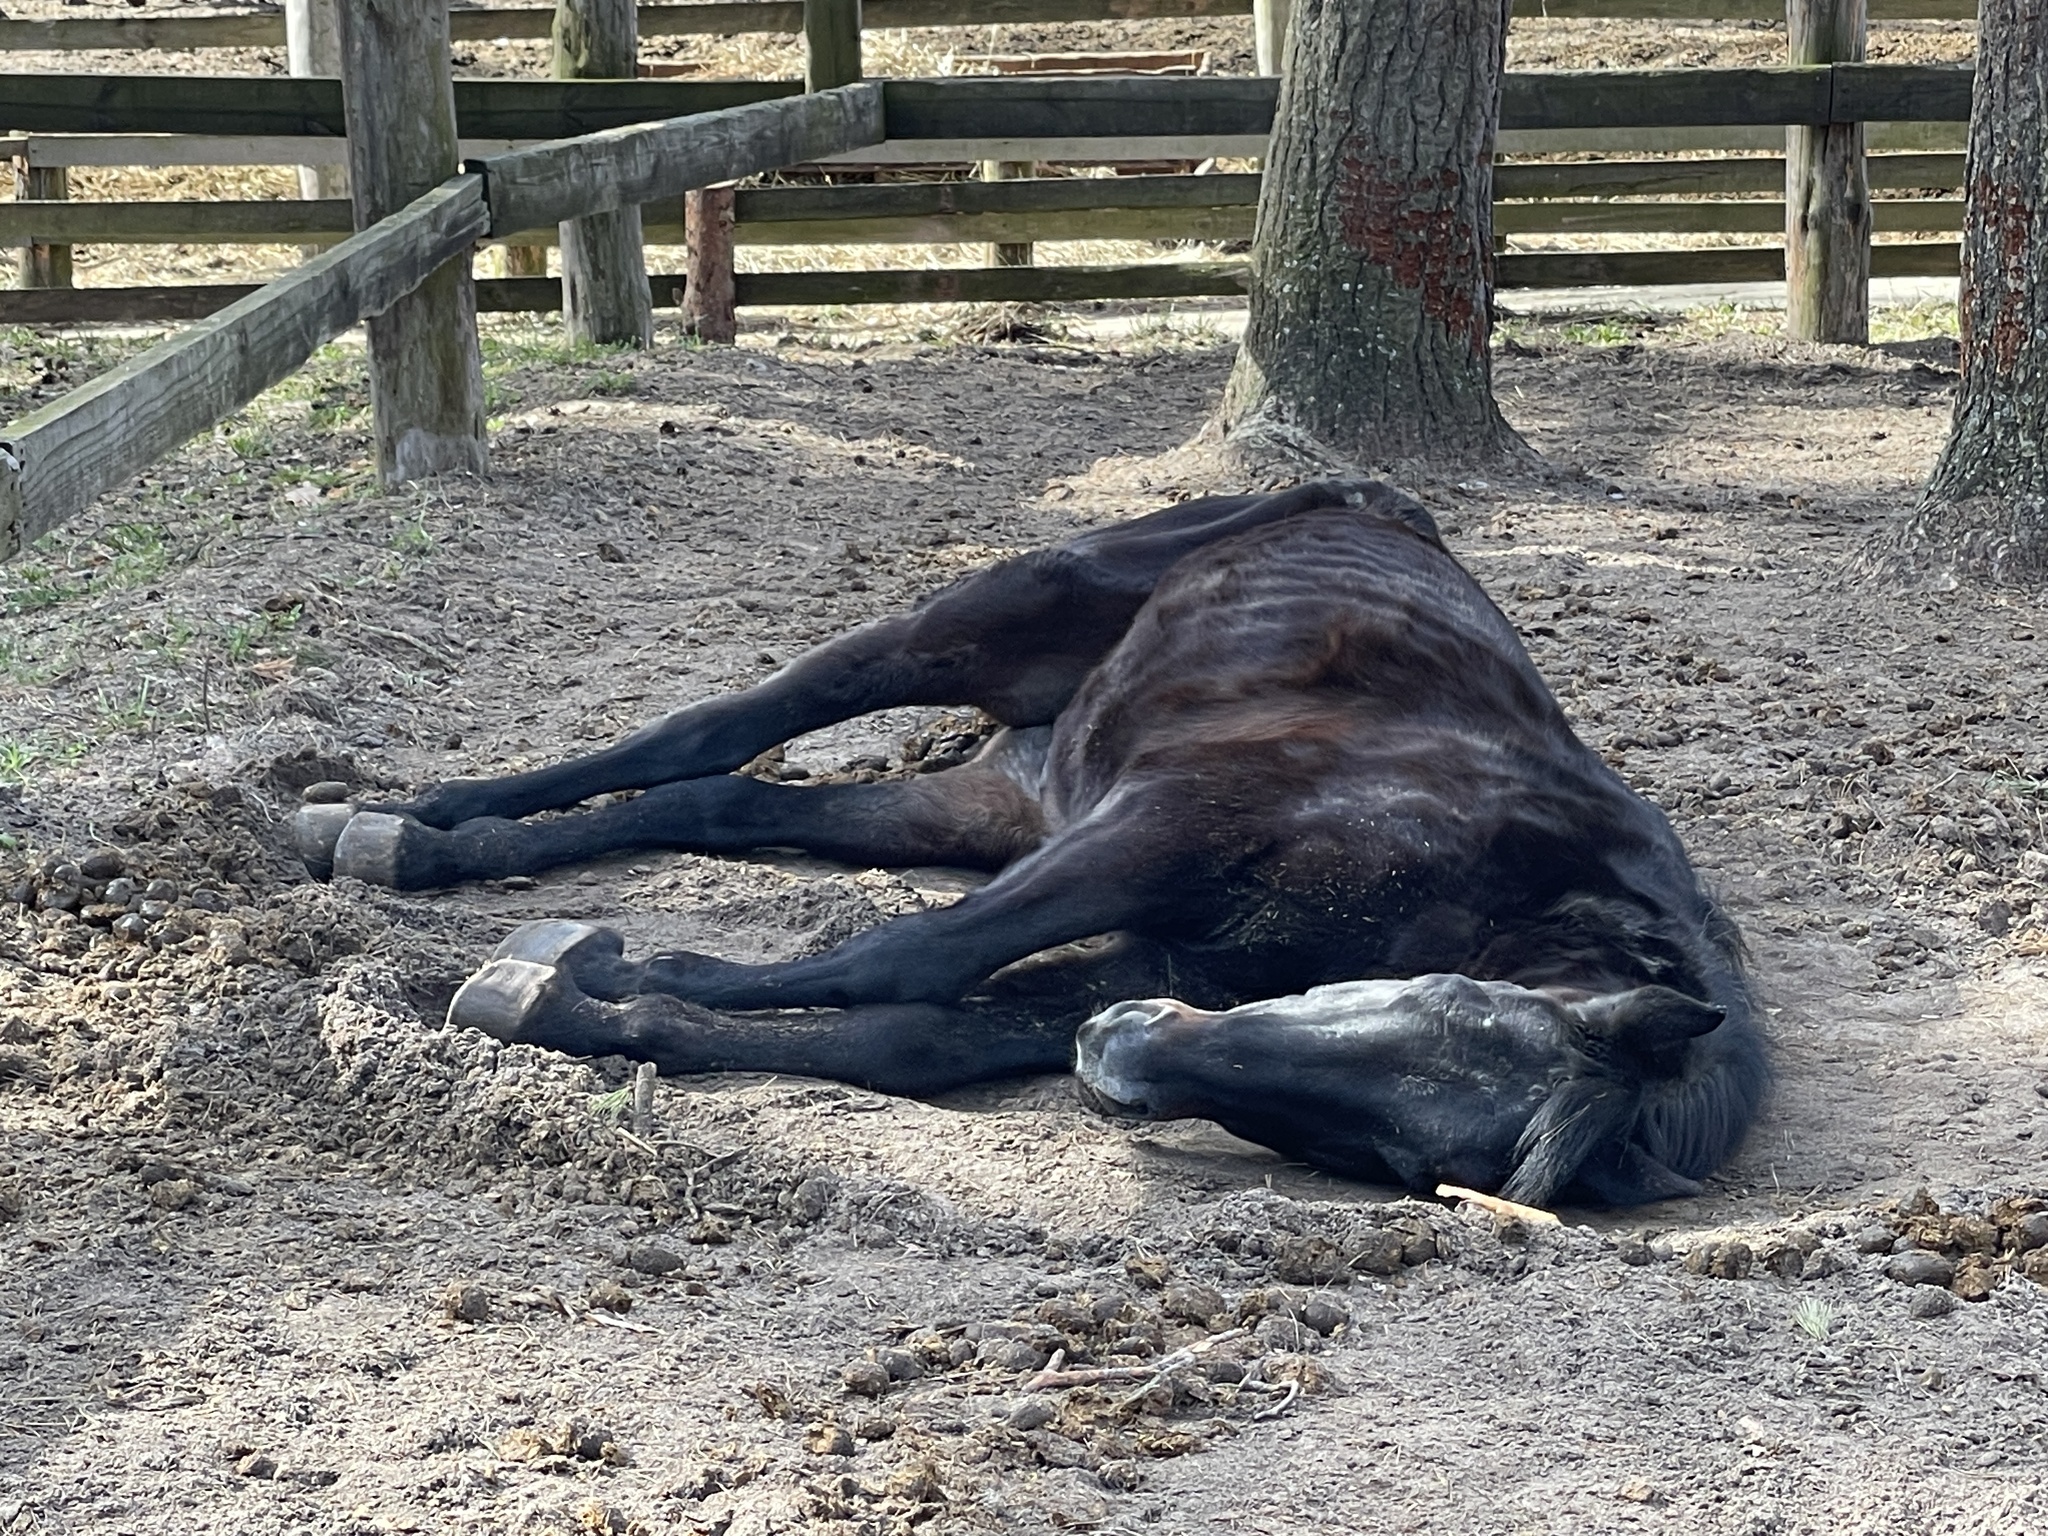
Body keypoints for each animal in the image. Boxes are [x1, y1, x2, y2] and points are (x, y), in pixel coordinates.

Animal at [296, 475, 1769, 1212]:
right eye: (1451, 1015)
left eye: (1399, 1163)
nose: (1119, 1057)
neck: (1480, 885)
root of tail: (1362, 497)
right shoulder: (1160, 833)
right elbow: (909, 960)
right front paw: (594, 979)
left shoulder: (1163, 955)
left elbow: (914, 1037)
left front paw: (602, 1002)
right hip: (971, 633)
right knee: (717, 725)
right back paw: (398, 820)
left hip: (993, 796)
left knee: (719, 802)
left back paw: (425, 853)